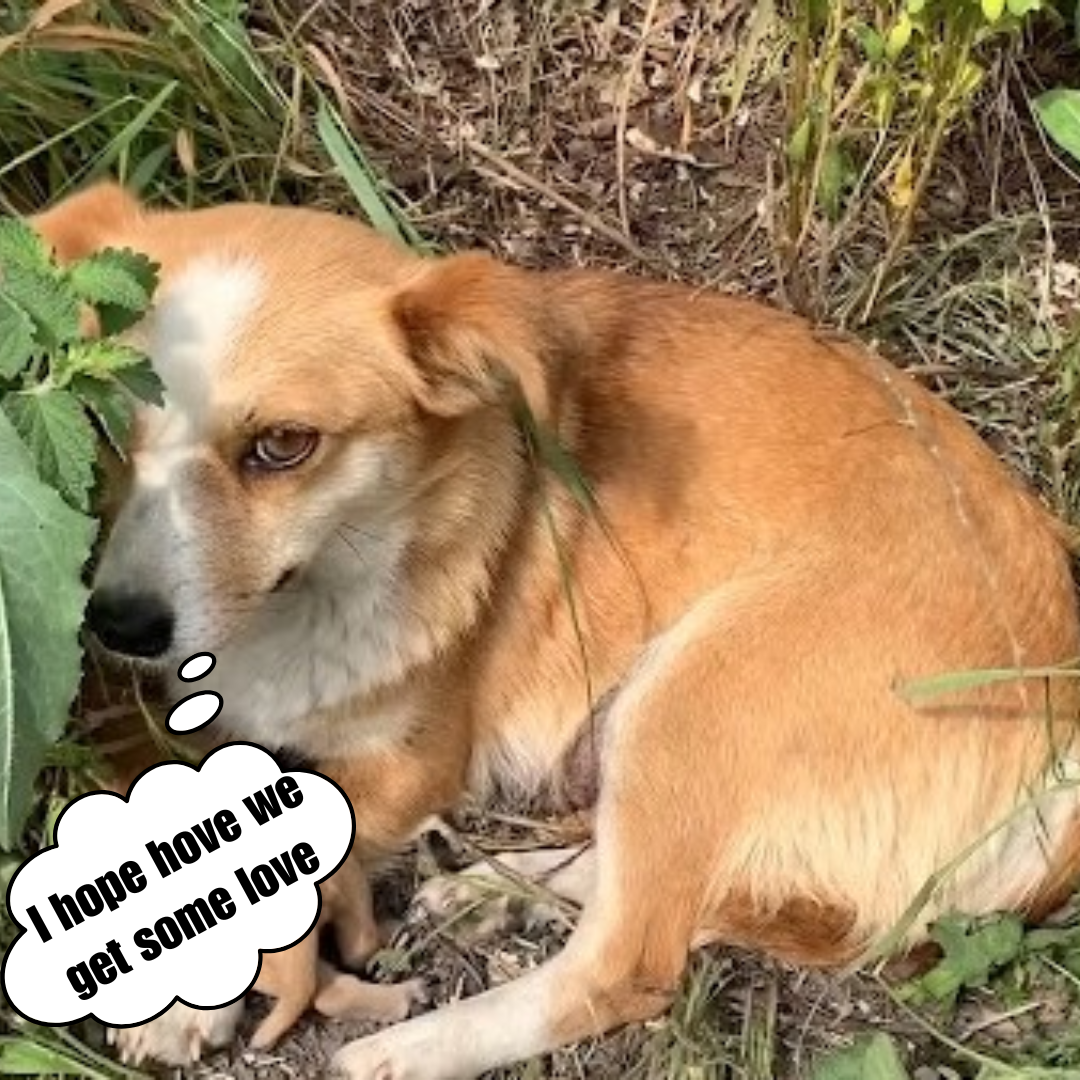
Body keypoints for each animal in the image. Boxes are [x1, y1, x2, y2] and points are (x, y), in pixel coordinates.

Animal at [31, 187, 1080, 1080]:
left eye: (283, 446)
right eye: (111, 424)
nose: (117, 624)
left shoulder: (413, 764)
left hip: (691, 695)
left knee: (629, 964)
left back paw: (411, 1050)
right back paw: (496, 890)